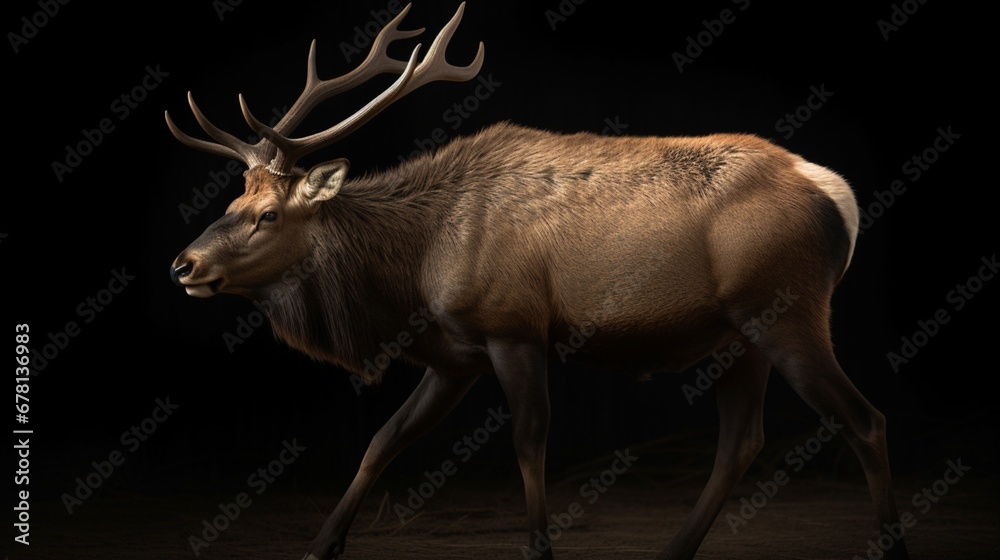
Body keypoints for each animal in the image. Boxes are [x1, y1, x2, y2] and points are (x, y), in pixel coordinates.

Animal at [166, 3, 910, 559]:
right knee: (742, 441)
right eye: (230, 202)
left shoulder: (513, 328)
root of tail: (838, 195)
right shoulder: (454, 354)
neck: (417, 267)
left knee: (864, 419)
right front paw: (321, 545)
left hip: (786, 311)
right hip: (739, 338)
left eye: (265, 215)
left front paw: (541, 548)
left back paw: (892, 544)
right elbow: (384, 439)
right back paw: (673, 550)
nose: (183, 265)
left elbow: (529, 441)